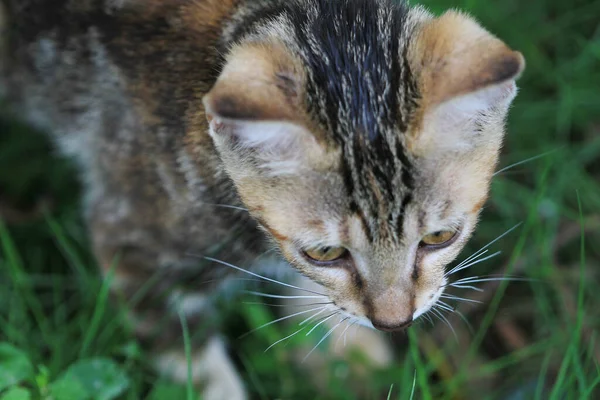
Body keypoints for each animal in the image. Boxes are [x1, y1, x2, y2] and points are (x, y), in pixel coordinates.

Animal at [0, 0, 524, 398]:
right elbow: (198, 369)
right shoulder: (130, 236)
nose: (394, 321)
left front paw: (340, 354)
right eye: (325, 252)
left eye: (440, 237)